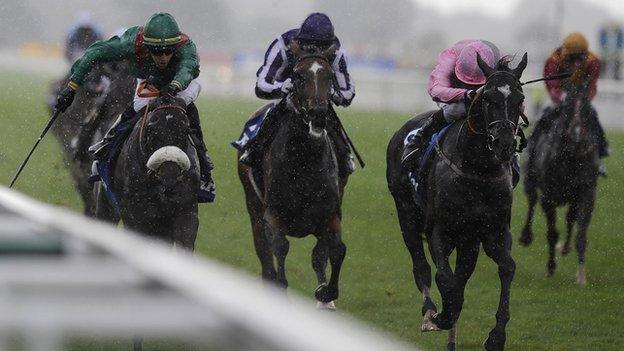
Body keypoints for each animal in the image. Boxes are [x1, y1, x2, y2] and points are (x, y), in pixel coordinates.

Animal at [95, 96, 200, 250]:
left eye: (186, 129)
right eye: (151, 128)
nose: (169, 175)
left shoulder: (186, 212)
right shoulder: (135, 215)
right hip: (106, 204)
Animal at [238, 42, 348, 310]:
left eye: (329, 75)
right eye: (298, 76)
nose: (318, 113)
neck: (304, 162)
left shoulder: (330, 215)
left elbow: (335, 250)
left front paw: (326, 294)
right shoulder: (273, 217)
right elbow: (280, 248)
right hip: (254, 209)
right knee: (265, 256)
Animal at [386, 53, 528, 350]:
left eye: (519, 97)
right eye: (487, 98)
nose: (504, 143)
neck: (478, 168)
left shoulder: (492, 232)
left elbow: (506, 268)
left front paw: (496, 335)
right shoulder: (439, 231)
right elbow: (444, 277)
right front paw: (441, 316)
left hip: (468, 241)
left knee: (460, 278)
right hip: (406, 214)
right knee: (421, 266)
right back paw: (430, 312)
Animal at [516, 87, 600, 286]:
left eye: (587, 108)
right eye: (568, 107)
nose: (577, 136)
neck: (571, 157)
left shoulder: (587, 193)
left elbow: (580, 233)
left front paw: (581, 275)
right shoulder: (548, 196)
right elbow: (552, 232)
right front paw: (550, 268)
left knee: (570, 218)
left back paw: (566, 247)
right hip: (530, 180)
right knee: (532, 202)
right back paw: (526, 236)